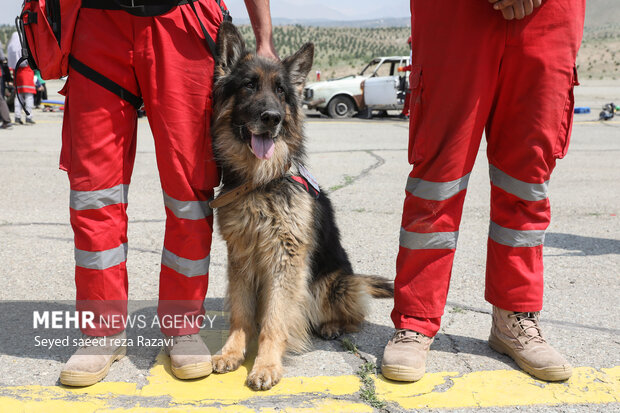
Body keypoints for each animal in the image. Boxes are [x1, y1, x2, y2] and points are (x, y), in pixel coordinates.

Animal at [209, 22, 392, 390]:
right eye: (249, 85)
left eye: (281, 91)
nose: (272, 118)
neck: (261, 181)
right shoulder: (240, 255)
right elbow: (240, 312)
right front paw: (232, 352)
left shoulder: (286, 258)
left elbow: (275, 319)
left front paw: (266, 364)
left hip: (328, 284)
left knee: (355, 315)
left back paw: (333, 325)